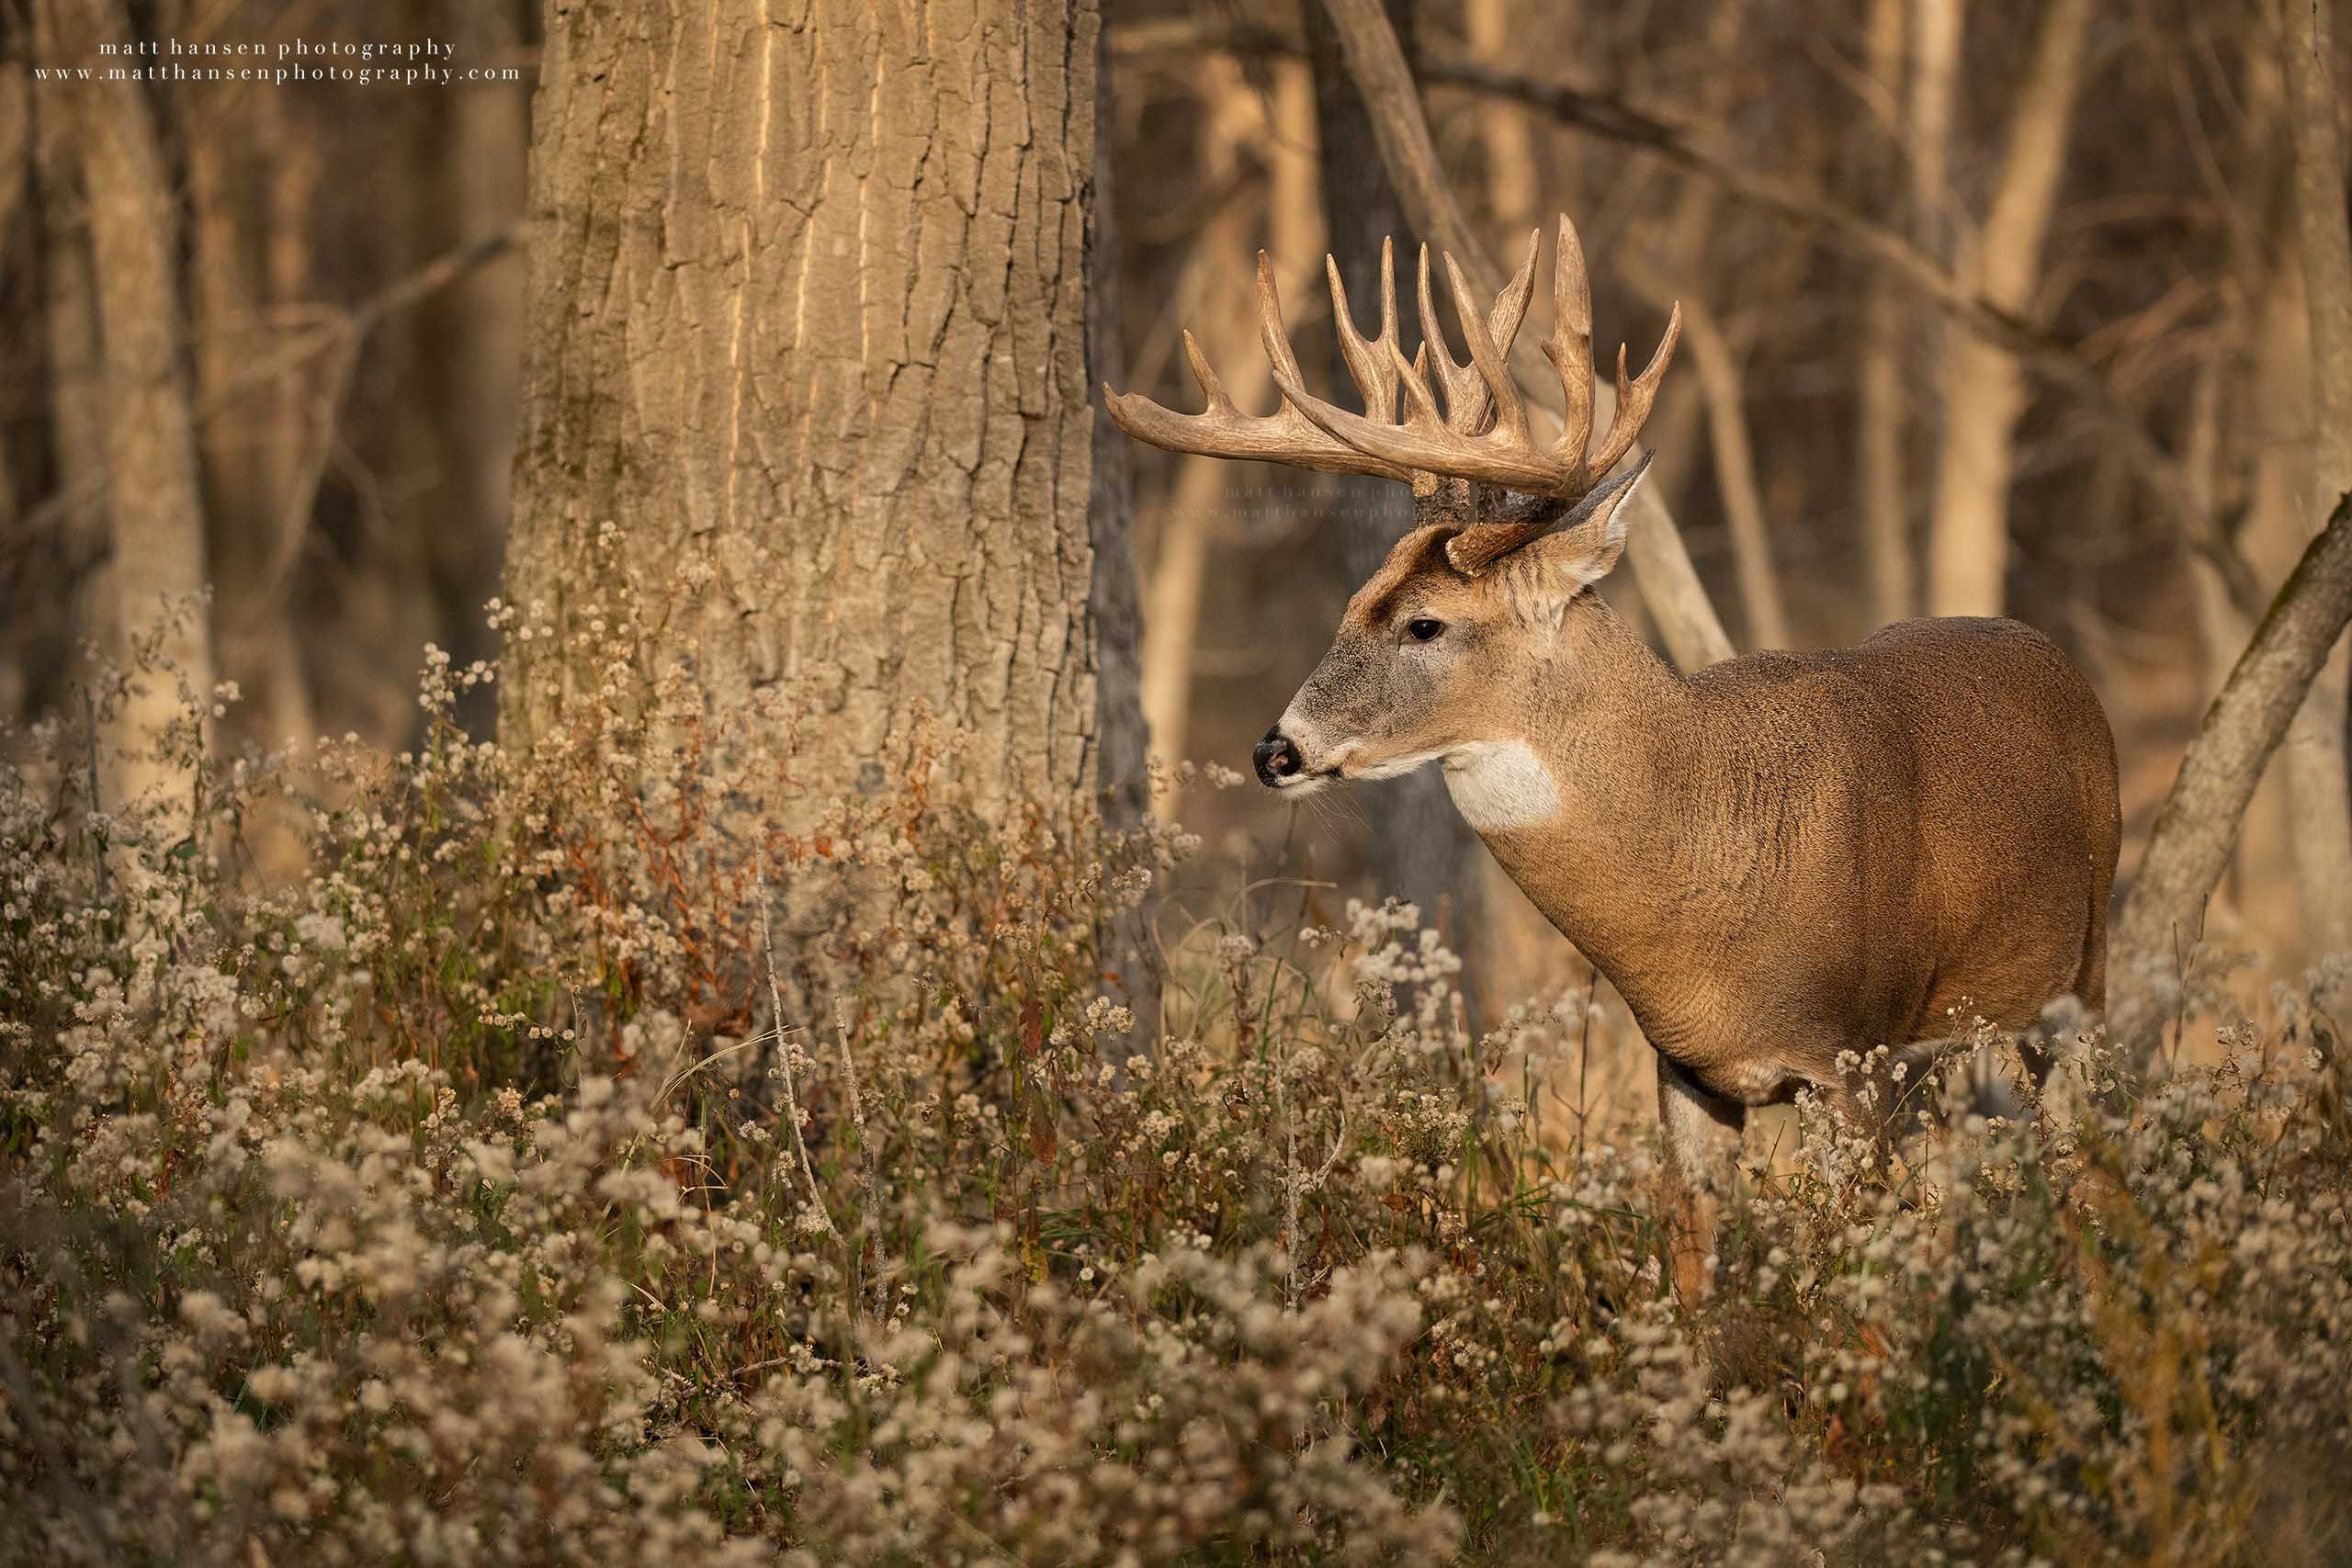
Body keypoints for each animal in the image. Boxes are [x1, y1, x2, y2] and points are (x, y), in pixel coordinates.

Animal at [1104, 217, 2121, 1303]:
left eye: (1424, 623)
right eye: (1352, 604)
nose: (1275, 749)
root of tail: (2050, 650)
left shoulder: (1857, 1050)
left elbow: (1862, 1273)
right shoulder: (1687, 1069)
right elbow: (1693, 1265)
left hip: (2079, 971)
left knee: (2085, 1160)